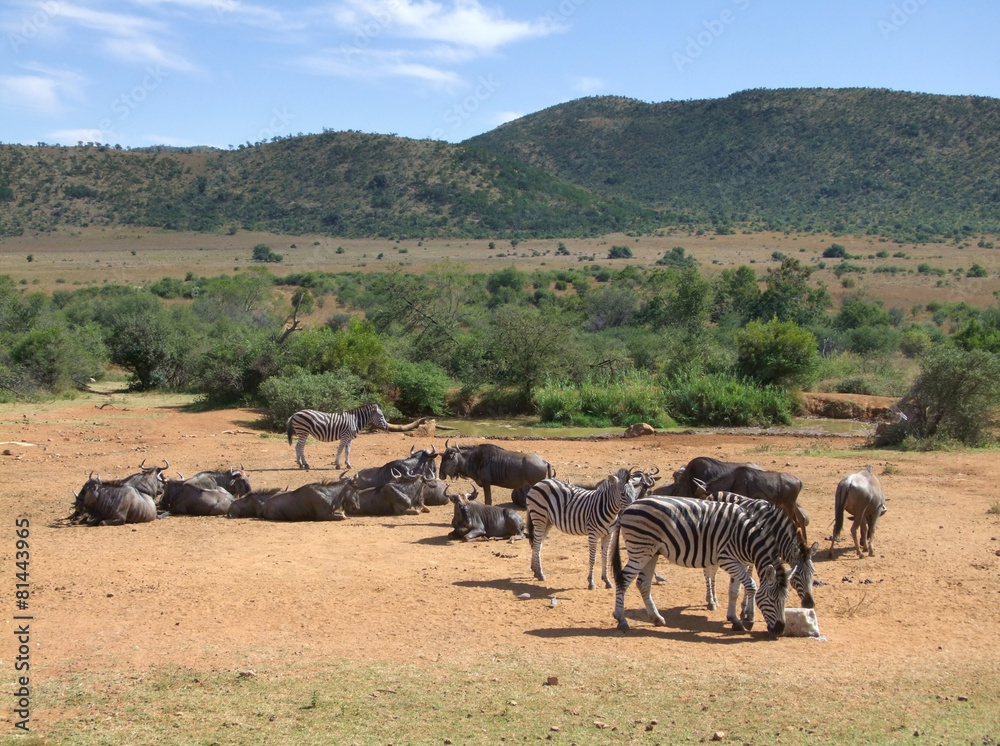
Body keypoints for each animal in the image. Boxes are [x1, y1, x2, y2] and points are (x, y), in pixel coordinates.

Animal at [526, 467, 656, 590]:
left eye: (634, 493)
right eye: (623, 493)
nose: (634, 509)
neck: (608, 509)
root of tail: (541, 482)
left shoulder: (608, 534)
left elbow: (605, 557)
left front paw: (607, 581)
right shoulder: (593, 534)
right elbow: (593, 558)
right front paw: (591, 583)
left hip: (548, 521)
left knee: (538, 544)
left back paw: (536, 570)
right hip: (539, 517)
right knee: (536, 543)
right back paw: (540, 573)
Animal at [611, 495, 789, 635]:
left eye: (785, 600)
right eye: (772, 599)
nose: (780, 630)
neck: (745, 537)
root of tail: (628, 507)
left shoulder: (740, 562)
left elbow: (735, 591)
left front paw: (734, 619)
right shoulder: (727, 559)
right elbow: (751, 585)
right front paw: (749, 619)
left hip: (652, 552)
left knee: (643, 583)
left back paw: (656, 618)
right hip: (640, 549)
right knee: (623, 579)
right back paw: (621, 619)